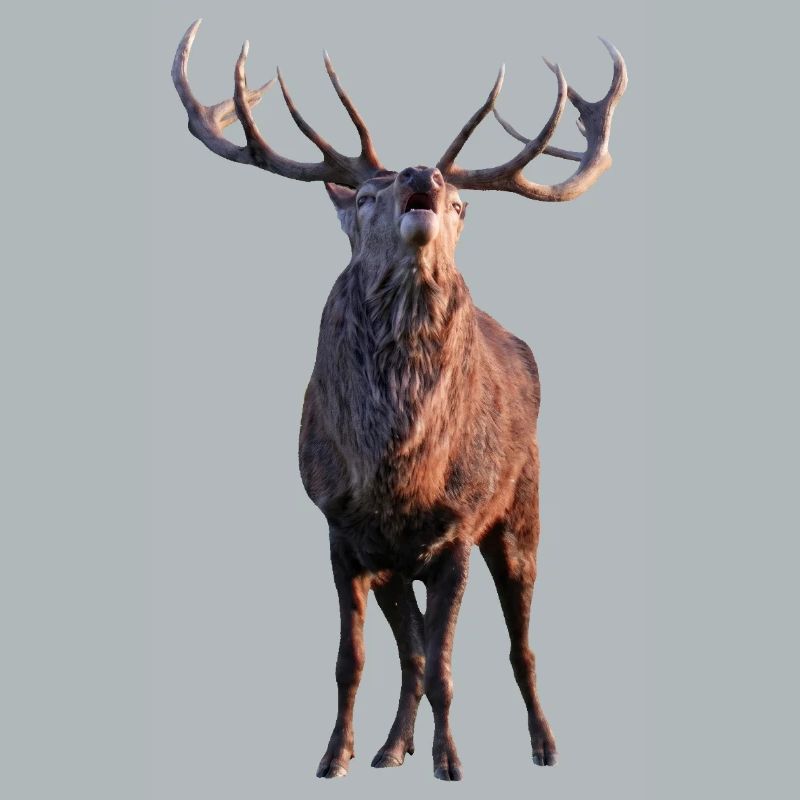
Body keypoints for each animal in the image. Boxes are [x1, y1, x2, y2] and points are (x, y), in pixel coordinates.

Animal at [172, 19, 626, 781]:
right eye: (364, 197)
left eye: (461, 206)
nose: (423, 175)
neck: (397, 470)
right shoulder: (343, 530)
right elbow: (354, 661)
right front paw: (336, 756)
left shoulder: (457, 530)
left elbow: (445, 665)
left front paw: (452, 762)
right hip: (398, 564)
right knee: (409, 649)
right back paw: (391, 747)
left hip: (522, 512)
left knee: (520, 643)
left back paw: (544, 744)